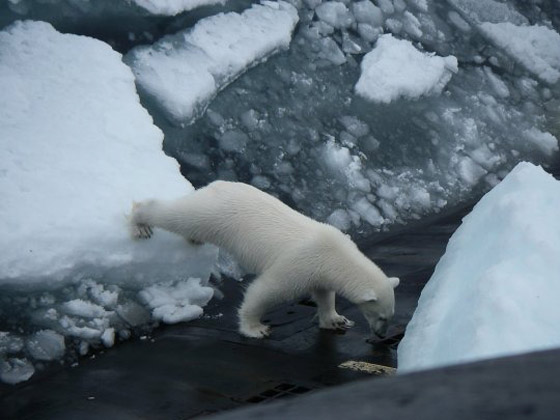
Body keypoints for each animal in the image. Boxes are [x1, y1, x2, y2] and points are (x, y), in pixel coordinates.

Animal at [129, 180, 400, 338]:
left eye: (390, 315)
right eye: (381, 317)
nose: (381, 336)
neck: (335, 255)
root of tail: (216, 184)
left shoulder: (320, 270)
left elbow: (324, 293)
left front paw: (336, 320)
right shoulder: (300, 264)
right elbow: (266, 290)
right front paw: (255, 328)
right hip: (214, 214)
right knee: (178, 215)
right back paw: (140, 222)